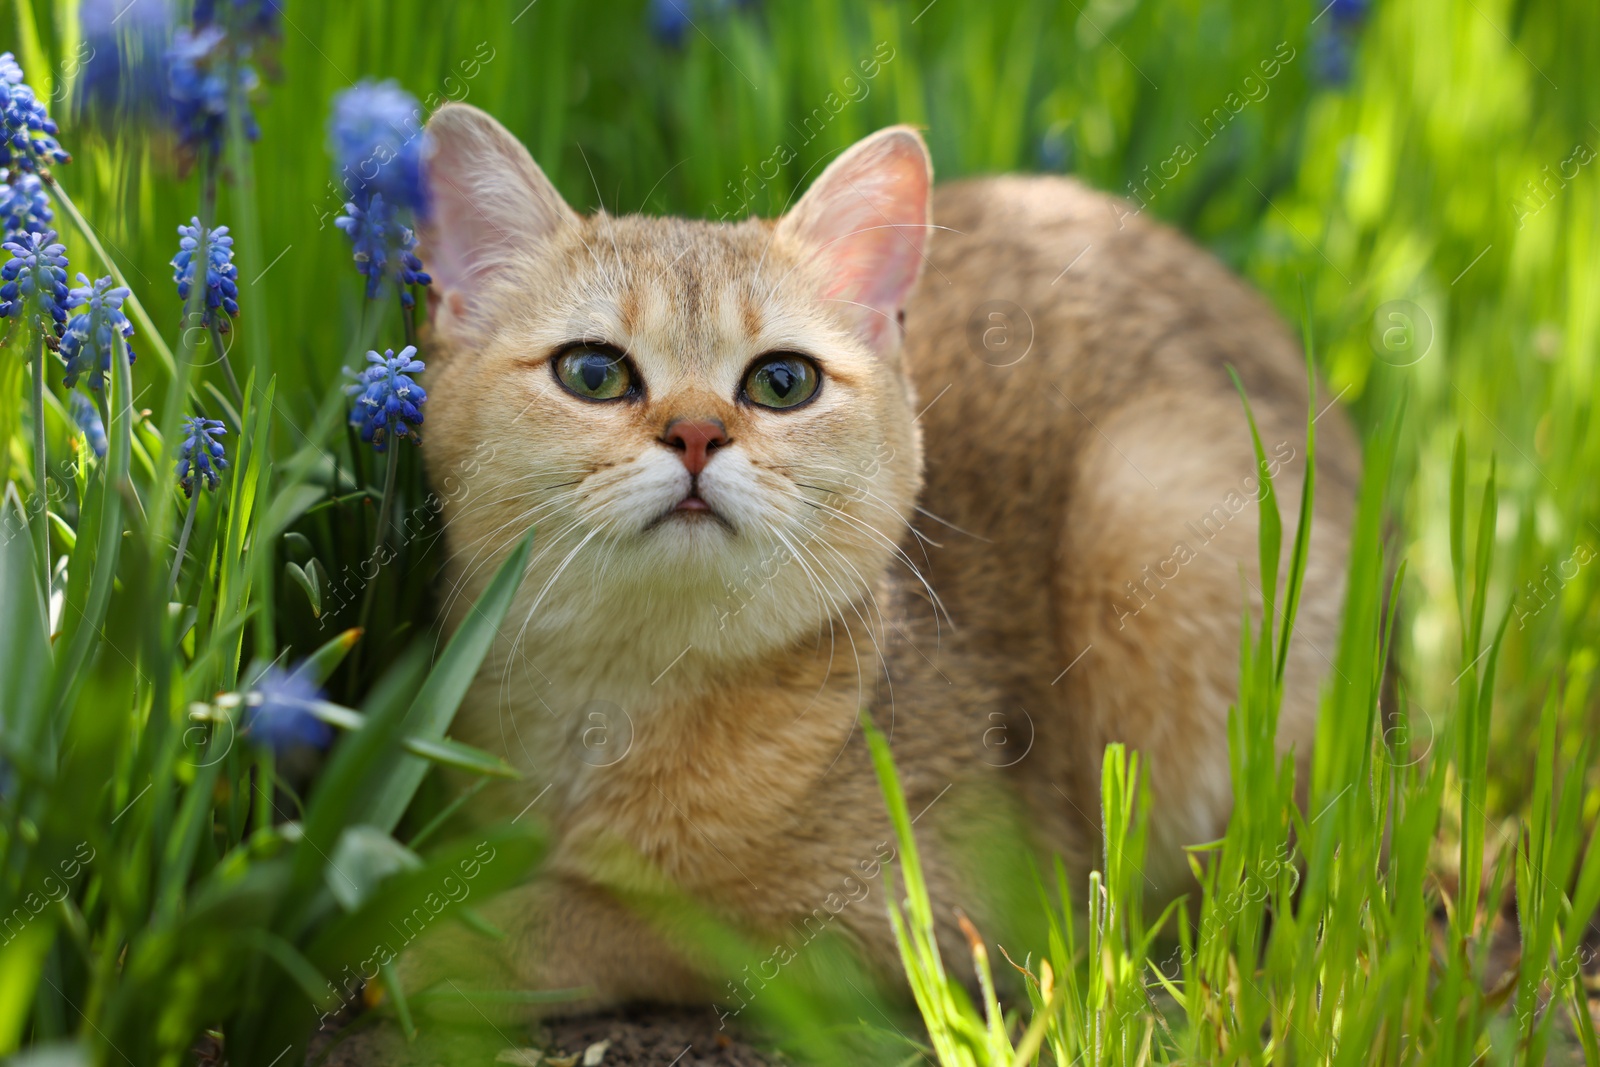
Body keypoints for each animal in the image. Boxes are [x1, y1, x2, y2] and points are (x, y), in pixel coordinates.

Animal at [406, 102, 1356, 1017]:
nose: (697, 433)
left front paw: (449, 946)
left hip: (1149, 499)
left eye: (782, 382)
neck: (618, 693)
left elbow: (650, 915)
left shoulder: (944, 920)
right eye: (593, 373)